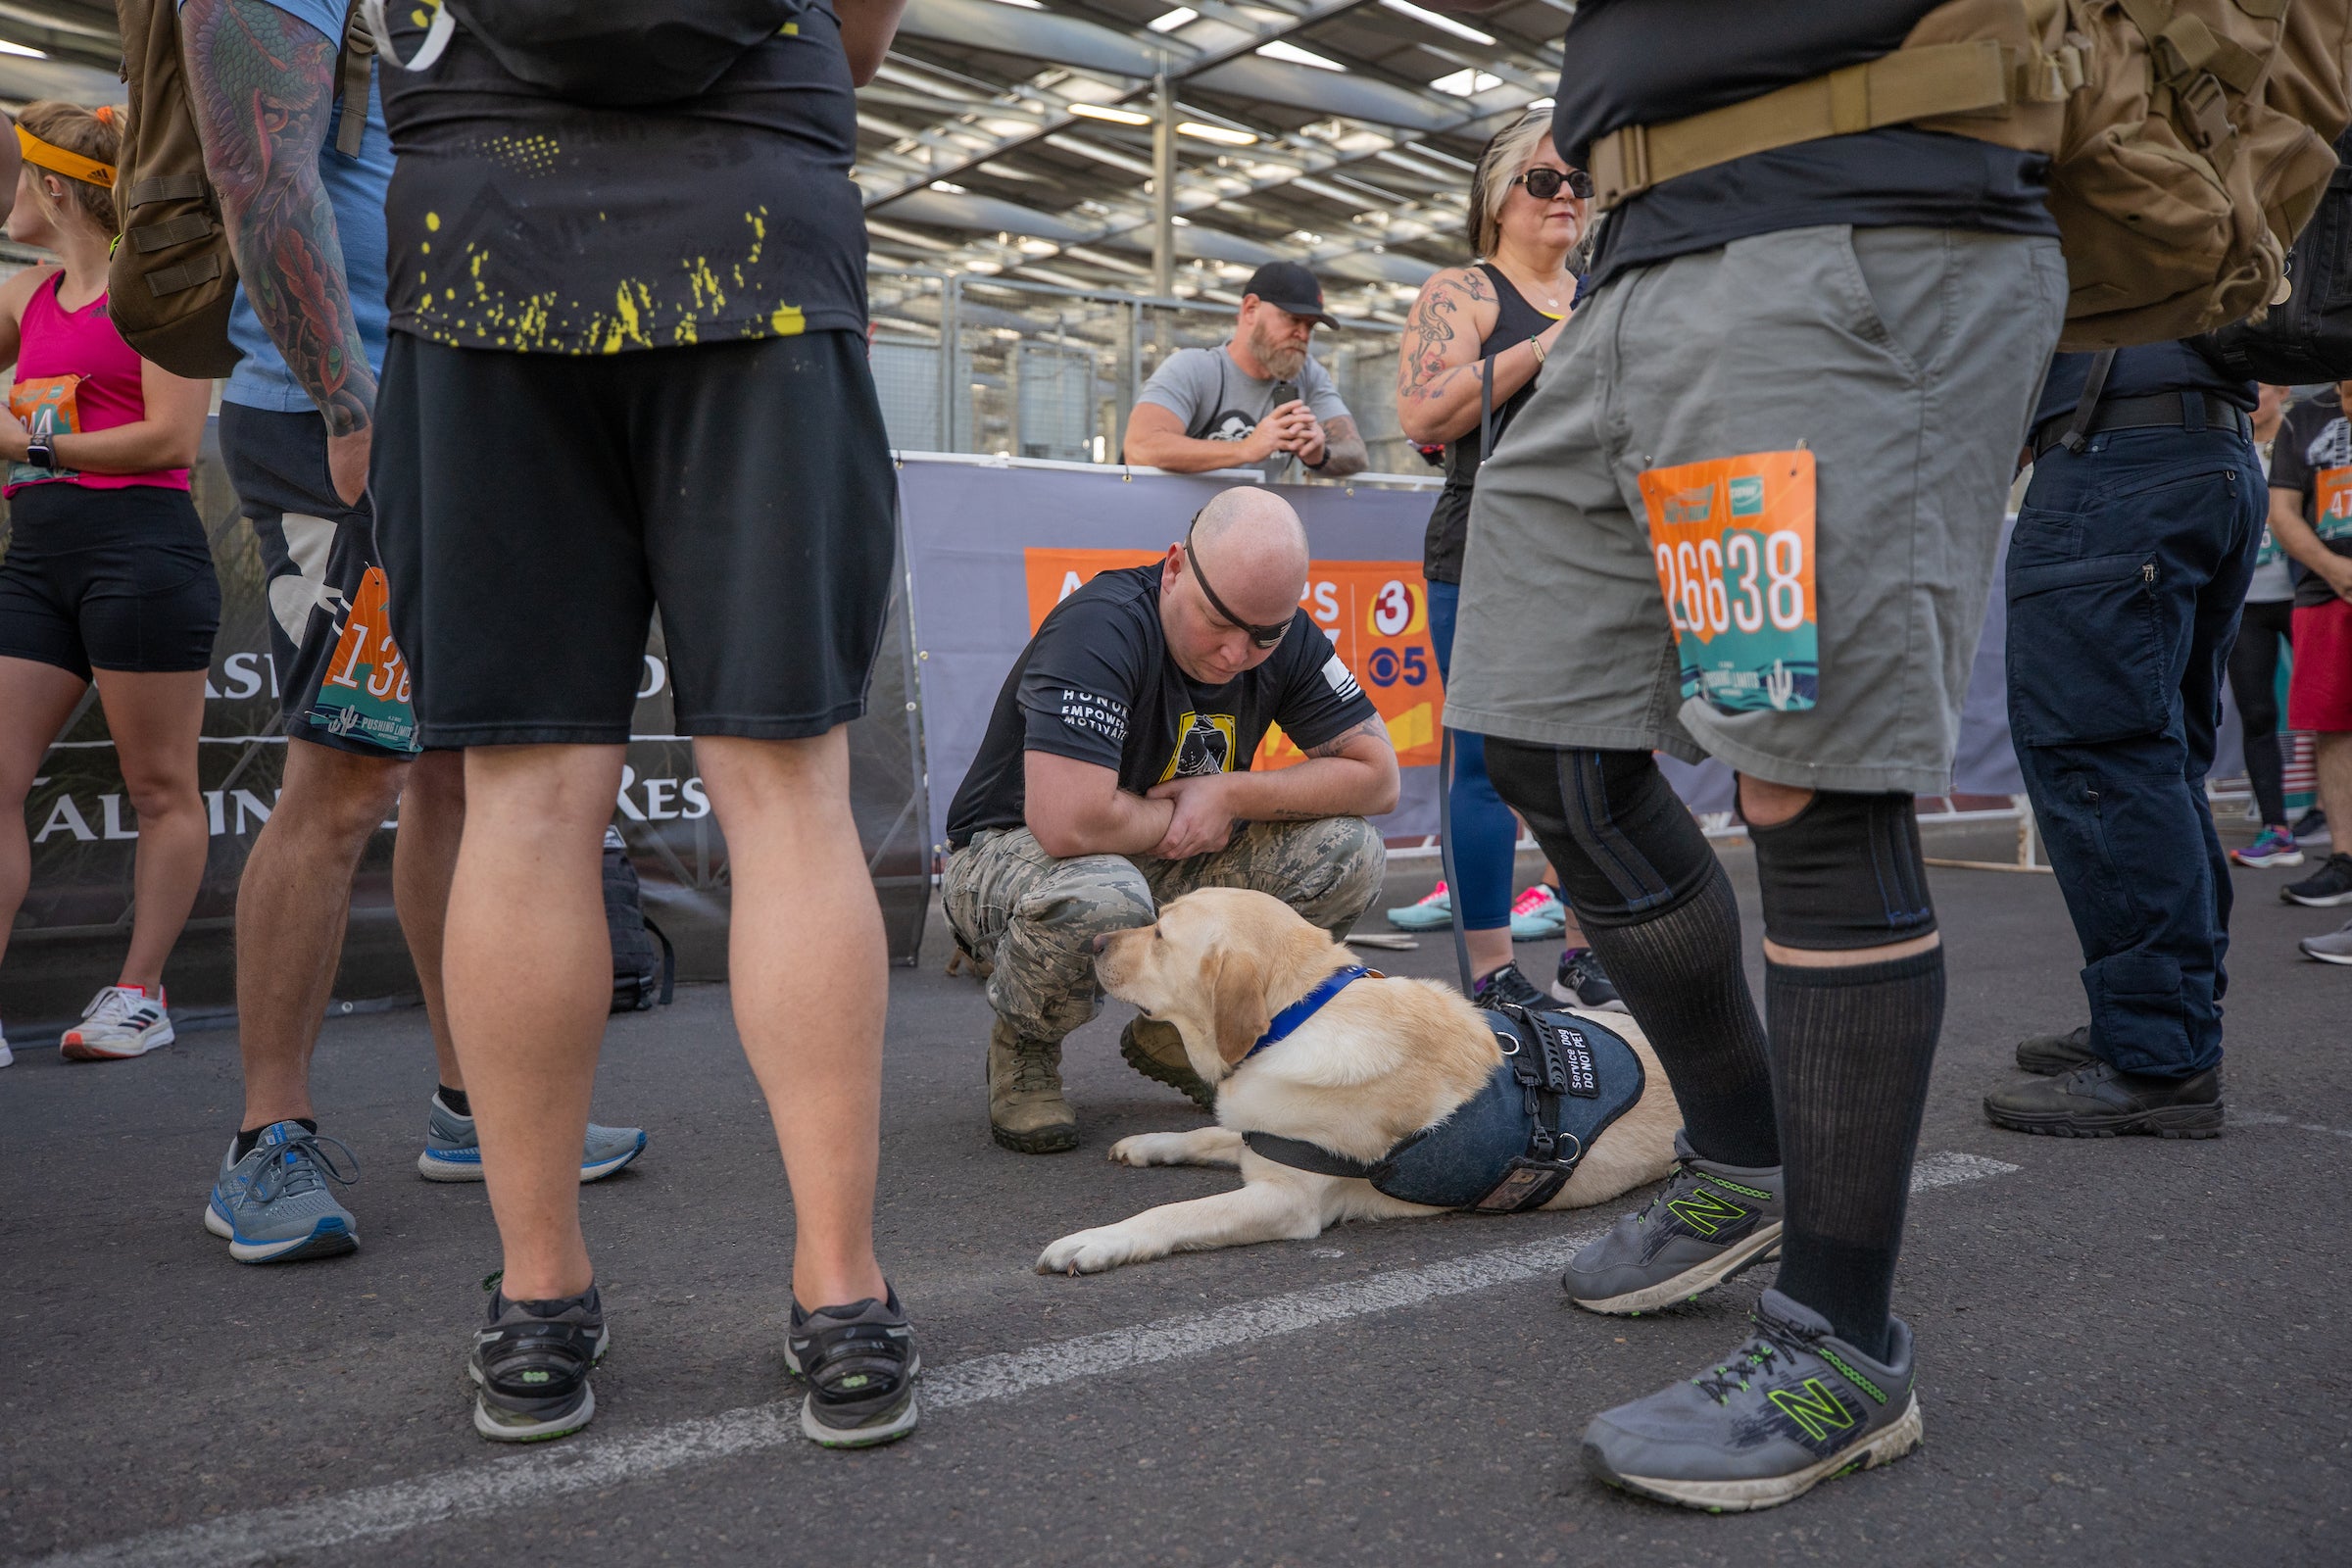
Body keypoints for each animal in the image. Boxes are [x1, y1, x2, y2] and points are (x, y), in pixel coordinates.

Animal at [1039, 883, 1684, 1278]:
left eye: (1160, 936)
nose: (1094, 942)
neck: (1298, 1013)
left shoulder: (1287, 1199)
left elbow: (1173, 1213)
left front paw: (1095, 1240)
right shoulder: (1264, 1132)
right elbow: (1207, 1134)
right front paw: (1147, 1145)